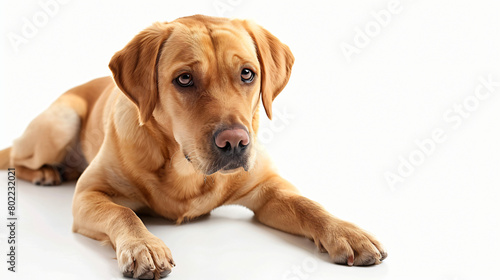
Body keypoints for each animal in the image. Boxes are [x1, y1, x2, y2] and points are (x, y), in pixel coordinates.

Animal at [0, 14, 386, 278]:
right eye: (184, 79)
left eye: (247, 73)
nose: (235, 142)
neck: (184, 168)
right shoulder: (88, 194)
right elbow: (122, 212)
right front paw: (144, 245)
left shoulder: (268, 188)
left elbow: (308, 205)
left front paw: (344, 231)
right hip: (60, 121)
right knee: (18, 156)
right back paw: (46, 172)